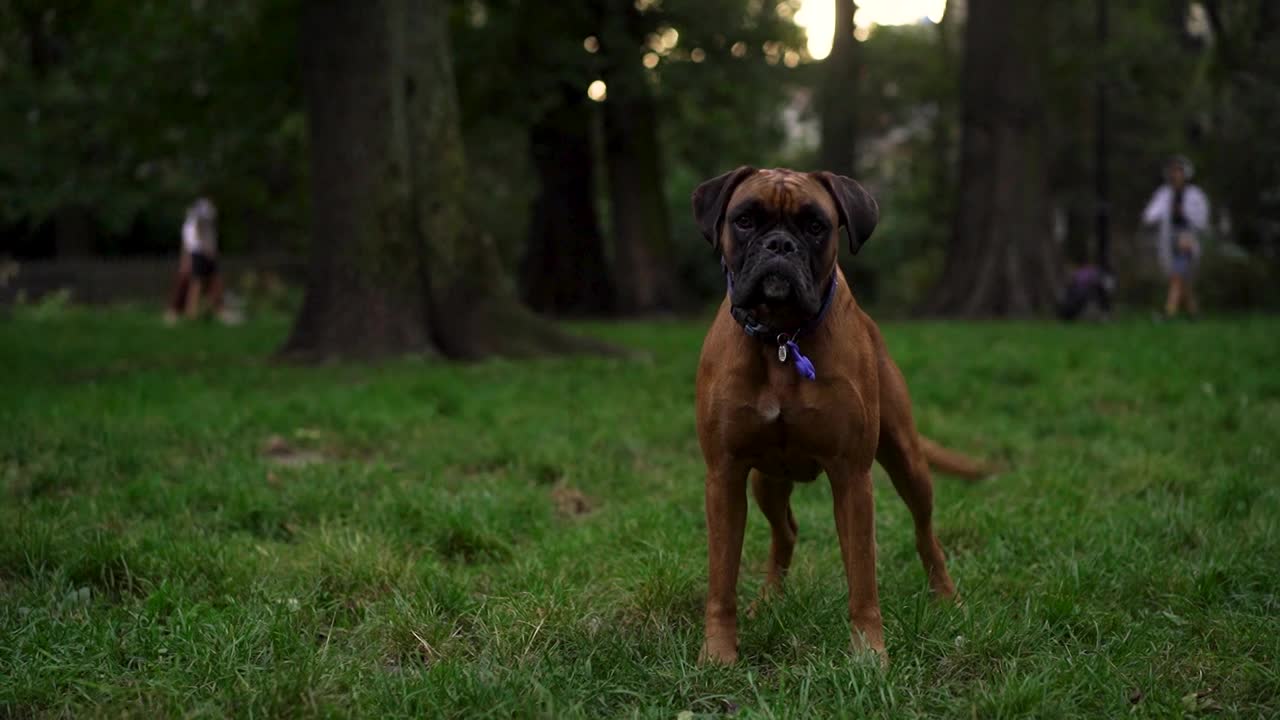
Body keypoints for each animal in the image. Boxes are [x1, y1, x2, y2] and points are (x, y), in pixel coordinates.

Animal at [696, 166, 983, 661]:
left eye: (815, 226)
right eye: (745, 220)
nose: (779, 245)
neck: (781, 338)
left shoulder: (852, 477)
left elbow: (862, 575)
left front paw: (869, 653)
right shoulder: (725, 475)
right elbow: (721, 578)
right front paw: (718, 654)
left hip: (908, 462)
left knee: (925, 533)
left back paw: (947, 597)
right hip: (765, 480)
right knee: (786, 531)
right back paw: (768, 601)